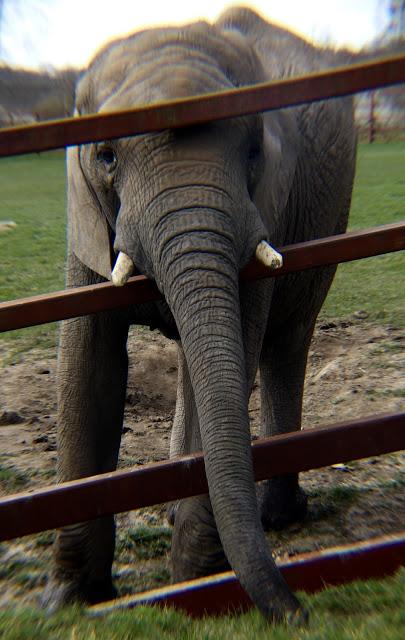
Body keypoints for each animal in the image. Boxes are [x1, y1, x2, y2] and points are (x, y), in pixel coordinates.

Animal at [42, 5, 356, 624]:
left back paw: (276, 516)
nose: (301, 615)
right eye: (106, 156)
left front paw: (194, 589)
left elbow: (235, 349)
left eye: (254, 153)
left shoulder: (268, 206)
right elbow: (89, 367)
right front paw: (69, 602)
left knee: (283, 346)